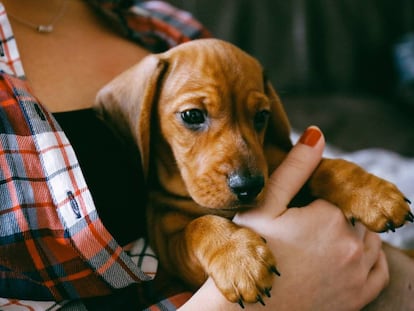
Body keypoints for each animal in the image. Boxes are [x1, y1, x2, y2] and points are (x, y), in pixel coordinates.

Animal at [94, 38, 414, 308]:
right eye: (192, 115)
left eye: (262, 116)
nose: (248, 186)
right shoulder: (171, 248)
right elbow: (199, 226)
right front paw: (238, 258)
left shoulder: (278, 163)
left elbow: (328, 167)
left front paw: (373, 195)